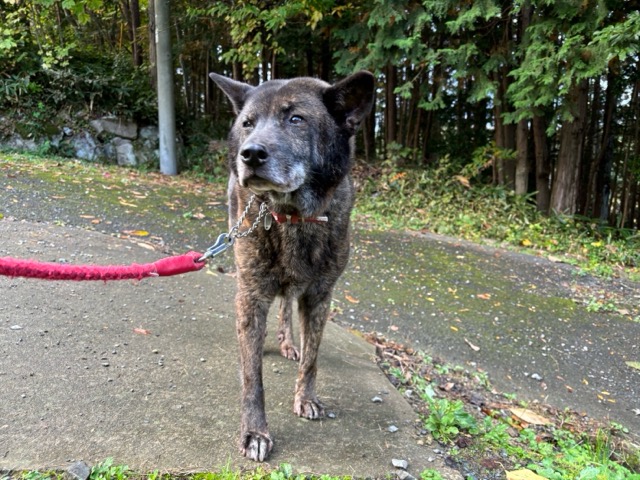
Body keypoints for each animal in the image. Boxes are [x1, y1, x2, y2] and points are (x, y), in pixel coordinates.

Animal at [209, 70, 374, 461]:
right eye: (247, 123)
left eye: (296, 119)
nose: (250, 153)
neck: (292, 216)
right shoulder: (251, 295)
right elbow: (252, 377)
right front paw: (255, 432)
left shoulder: (320, 297)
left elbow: (311, 359)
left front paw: (306, 397)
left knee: (286, 305)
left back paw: (287, 341)